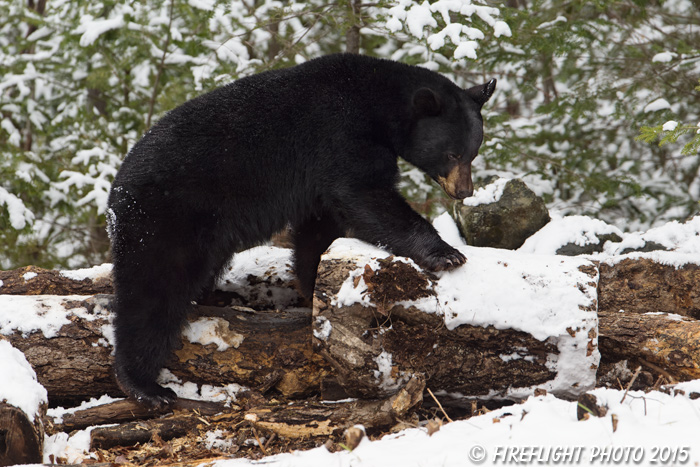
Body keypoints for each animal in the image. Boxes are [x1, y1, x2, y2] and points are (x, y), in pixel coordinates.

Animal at [108, 53, 492, 408]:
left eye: (473, 152)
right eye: (452, 153)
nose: (464, 192)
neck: (377, 104)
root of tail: (117, 195)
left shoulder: (319, 178)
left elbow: (318, 230)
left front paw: (312, 288)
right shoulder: (340, 134)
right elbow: (366, 194)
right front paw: (447, 253)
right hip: (167, 218)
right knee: (153, 290)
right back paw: (145, 386)